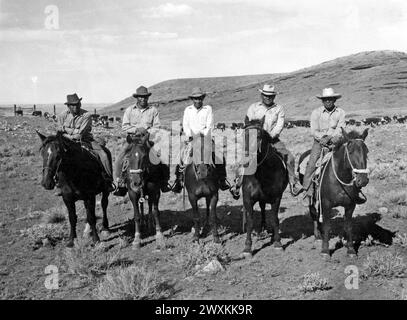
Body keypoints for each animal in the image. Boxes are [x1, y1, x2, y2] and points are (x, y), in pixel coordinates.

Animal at [239, 116, 290, 258]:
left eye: (258, 135)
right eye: (244, 135)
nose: (246, 161)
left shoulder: (276, 198)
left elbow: (275, 218)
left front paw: (278, 243)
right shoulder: (247, 199)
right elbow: (250, 221)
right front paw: (247, 248)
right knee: (262, 208)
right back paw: (262, 229)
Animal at [300, 127, 370, 258]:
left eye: (366, 151)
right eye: (350, 152)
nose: (363, 180)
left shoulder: (350, 205)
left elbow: (348, 226)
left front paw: (350, 250)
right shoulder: (326, 204)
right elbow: (327, 226)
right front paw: (325, 251)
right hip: (311, 197)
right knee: (313, 213)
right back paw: (317, 235)